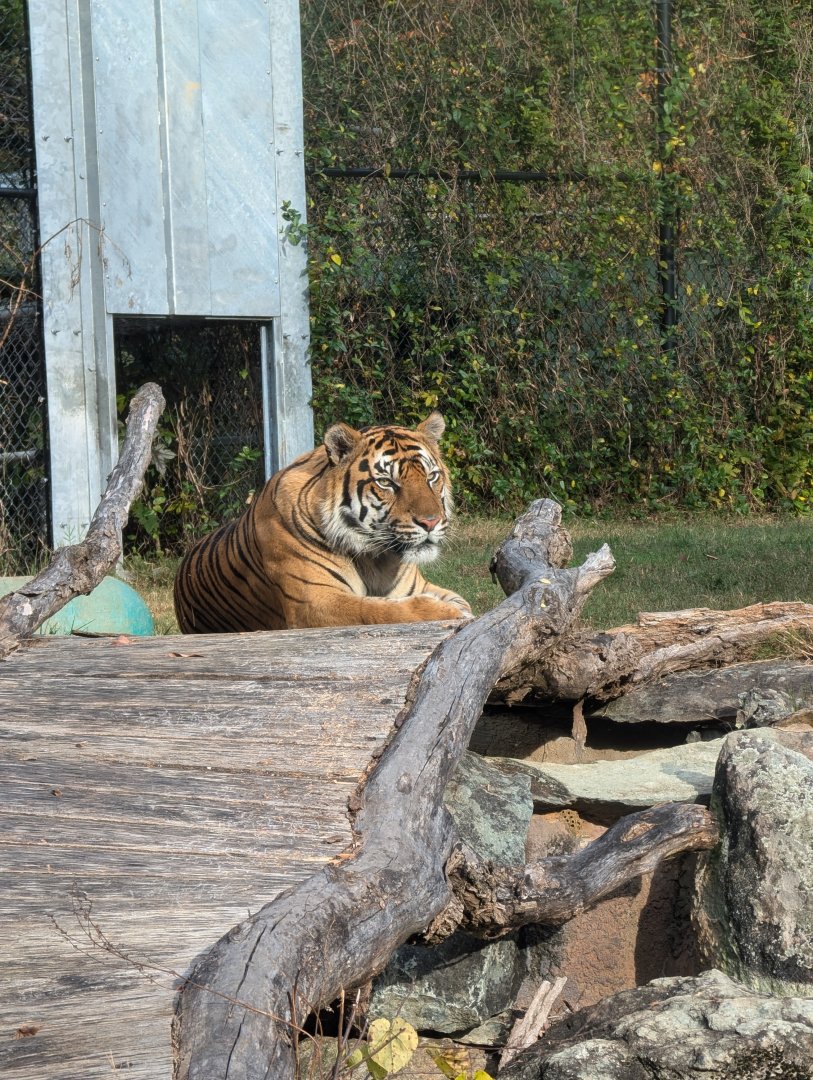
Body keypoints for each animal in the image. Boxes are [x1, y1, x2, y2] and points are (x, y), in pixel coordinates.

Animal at [173, 411, 473, 633]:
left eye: (431, 477)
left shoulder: (420, 586)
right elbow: (377, 610)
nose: (431, 522)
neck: (376, 559)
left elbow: (463, 601)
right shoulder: (315, 602)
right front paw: (446, 612)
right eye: (387, 482)